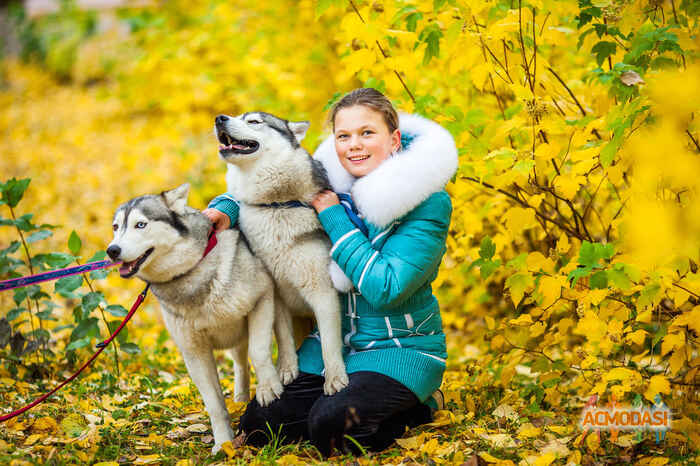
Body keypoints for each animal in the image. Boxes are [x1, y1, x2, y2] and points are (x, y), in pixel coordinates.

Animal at [106, 184, 284, 454]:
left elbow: (259, 351)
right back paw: (241, 400)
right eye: (116, 227)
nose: (112, 250)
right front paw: (224, 443)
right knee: (240, 363)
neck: (192, 272)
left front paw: (268, 388)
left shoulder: (263, 298)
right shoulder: (193, 352)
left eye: (140, 224)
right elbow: (214, 404)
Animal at [211, 111, 348, 396]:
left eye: (253, 121)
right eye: (237, 116)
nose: (219, 118)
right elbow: (284, 338)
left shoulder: (323, 293)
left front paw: (335, 379)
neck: (275, 205)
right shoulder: (277, 295)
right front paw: (286, 369)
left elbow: (329, 344)